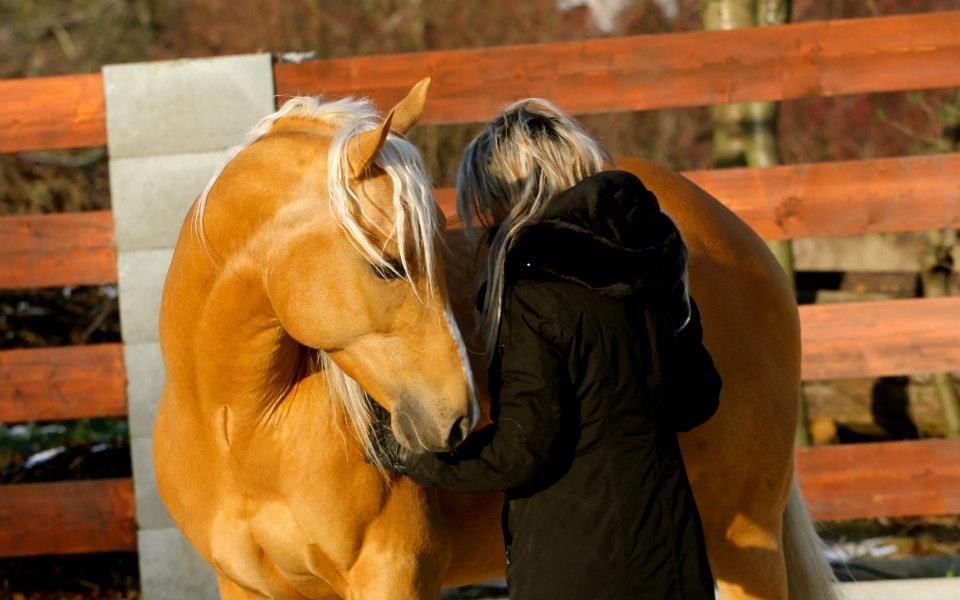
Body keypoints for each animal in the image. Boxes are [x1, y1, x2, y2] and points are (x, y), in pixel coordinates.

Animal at [154, 78, 835, 599]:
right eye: (388, 265)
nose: (458, 416)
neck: (243, 430)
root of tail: (741, 238)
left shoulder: (394, 574)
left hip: (745, 541)